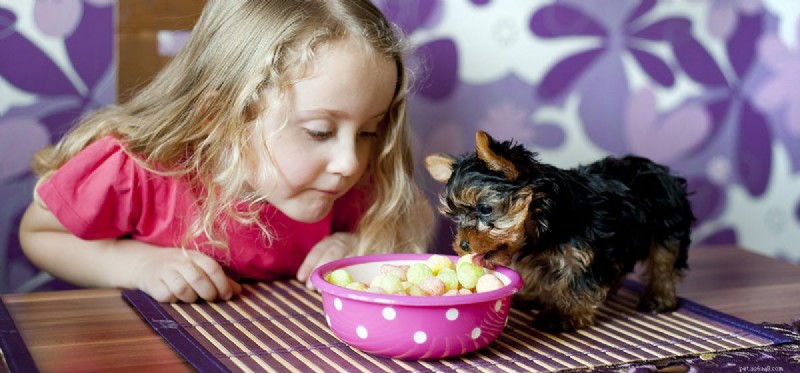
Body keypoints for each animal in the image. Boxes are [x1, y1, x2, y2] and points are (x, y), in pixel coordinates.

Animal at [424, 131, 692, 332]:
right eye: (455, 216)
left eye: (485, 208)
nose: (463, 245)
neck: (546, 221)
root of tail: (659, 170)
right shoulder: (538, 252)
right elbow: (533, 270)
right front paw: (530, 294)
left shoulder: (586, 252)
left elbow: (577, 282)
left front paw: (563, 315)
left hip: (668, 227)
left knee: (663, 263)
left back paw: (659, 296)